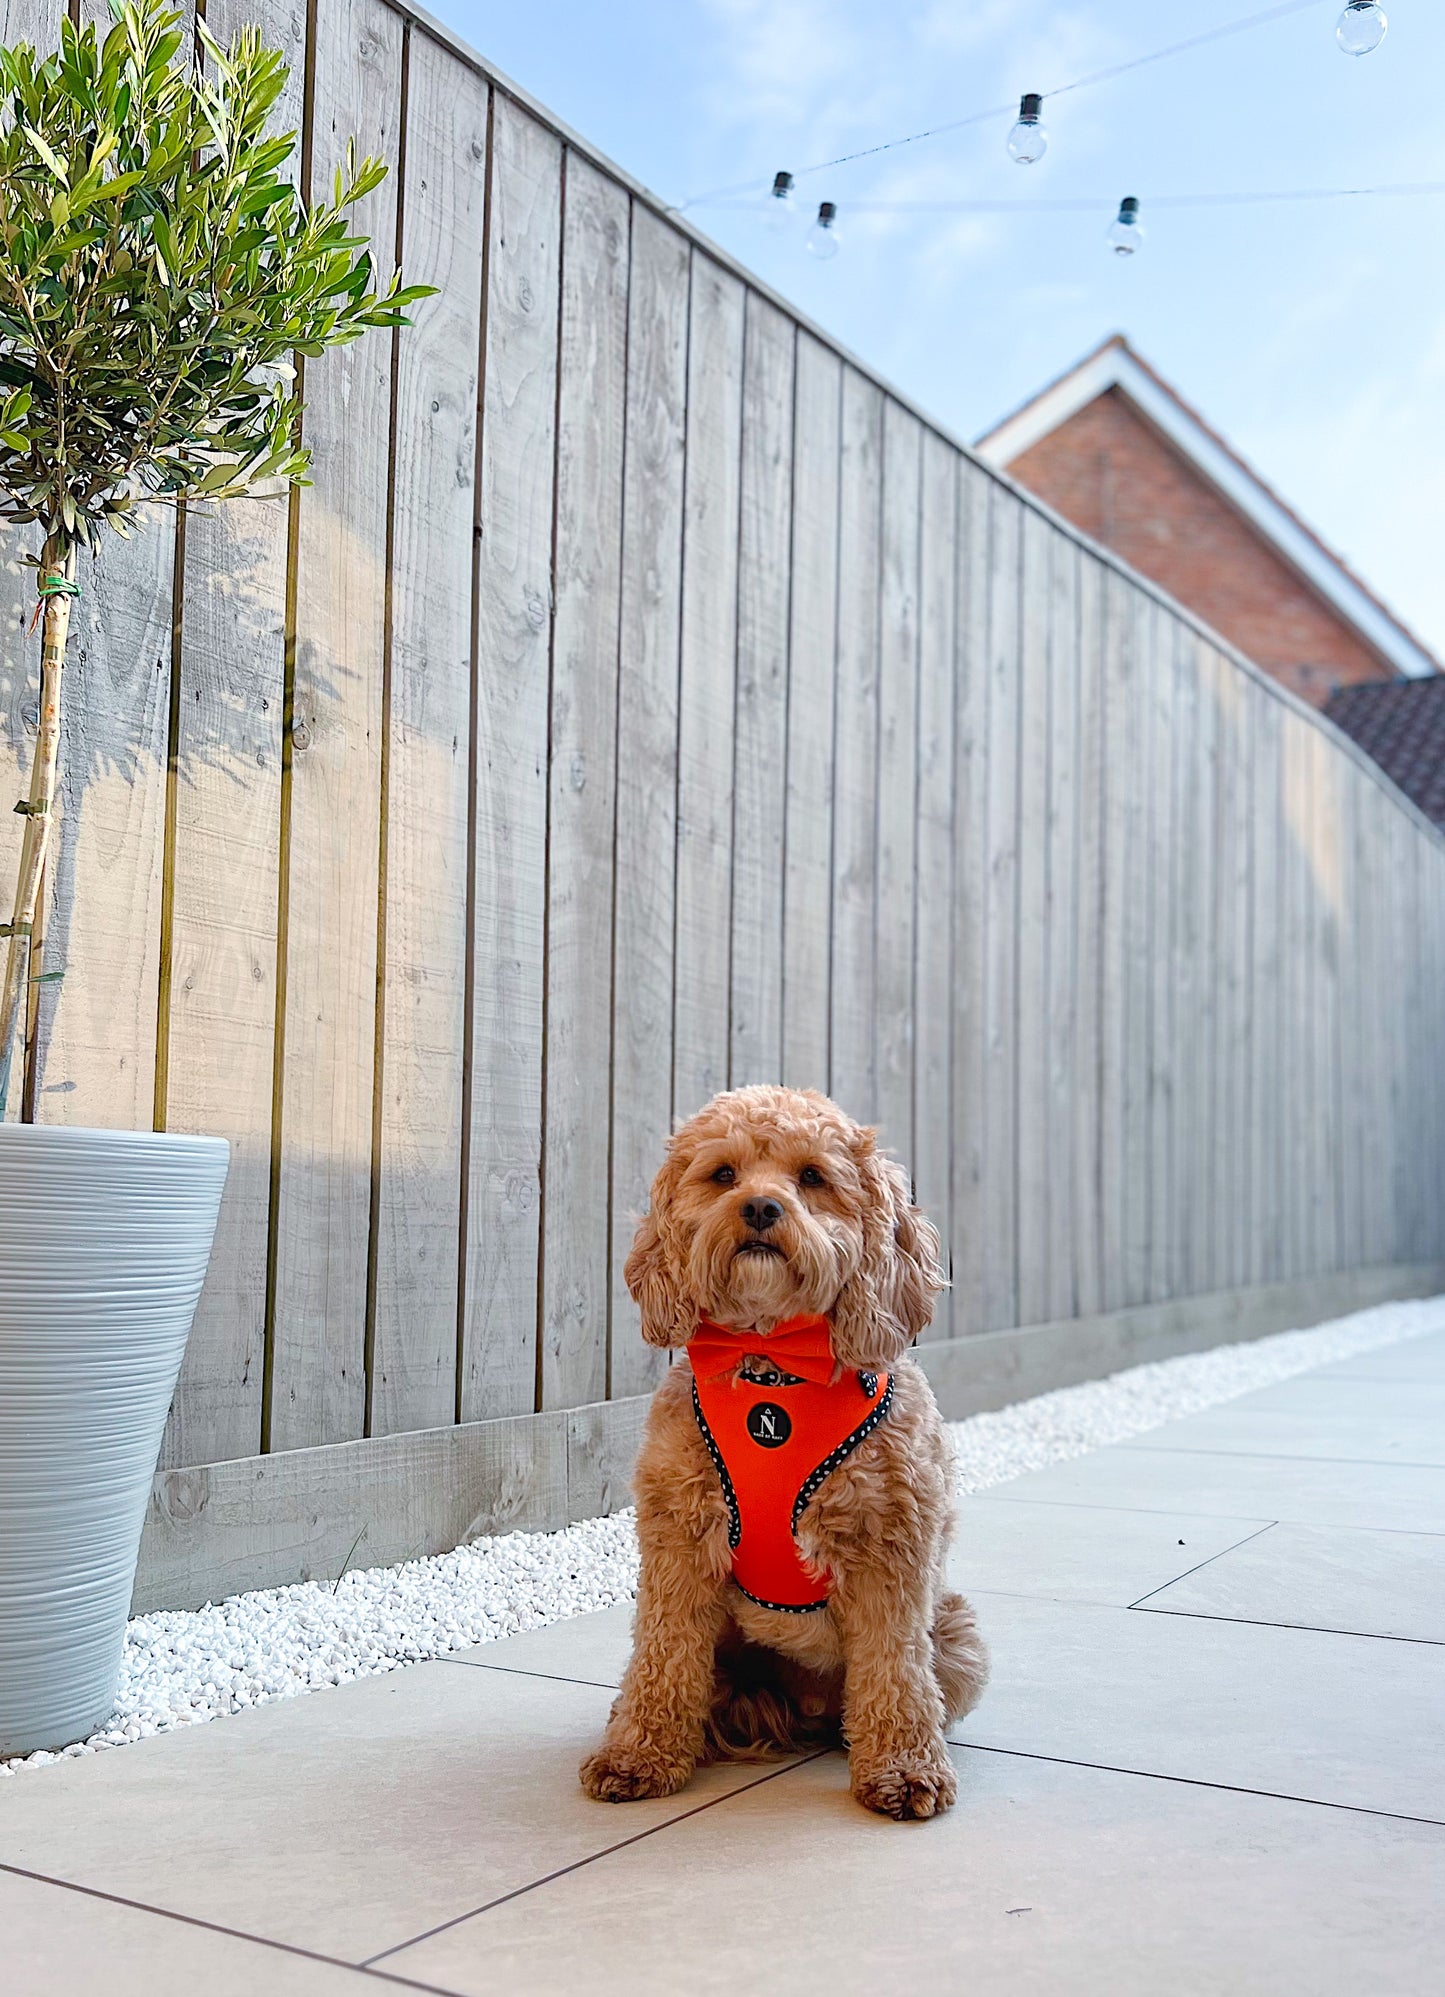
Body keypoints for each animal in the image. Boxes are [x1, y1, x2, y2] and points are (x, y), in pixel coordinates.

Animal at [582, 1086, 985, 1821]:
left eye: (811, 1176)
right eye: (723, 1174)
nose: (761, 1208)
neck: (773, 1367)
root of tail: (803, 1710)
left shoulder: (891, 1550)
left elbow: (893, 1669)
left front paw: (904, 1770)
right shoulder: (679, 1542)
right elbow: (662, 1655)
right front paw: (638, 1754)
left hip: (957, 1631)